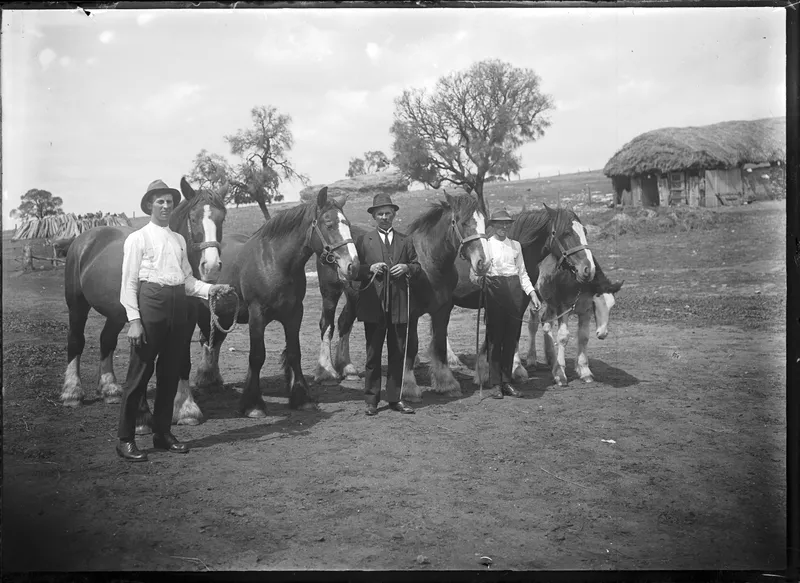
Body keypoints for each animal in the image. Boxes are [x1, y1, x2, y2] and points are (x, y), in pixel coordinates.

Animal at [192, 187, 361, 417]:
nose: (353, 266)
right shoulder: (257, 316)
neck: (275, 263)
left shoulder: (294, 314)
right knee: (207, 341)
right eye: (329, 224)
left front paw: (301, 398)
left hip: (225, 314)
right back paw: (205, 379)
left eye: (348, 224)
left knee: (215, 341)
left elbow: (294, 353)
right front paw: (253, 405)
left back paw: (214, 380)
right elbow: (257, 356)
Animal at [310, 191, 490, 401]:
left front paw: (447, 384)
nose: (483, 263)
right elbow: (410, 347)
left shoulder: (442, 310)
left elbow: (439, 345)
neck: (430, 263)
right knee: (327, 325)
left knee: (344, 323)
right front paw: (409, 387)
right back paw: (326, 372)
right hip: (330, 293)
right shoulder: (410, 313)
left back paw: (348, 369)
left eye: (484, 222)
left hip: (355, 297)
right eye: (462, 222)